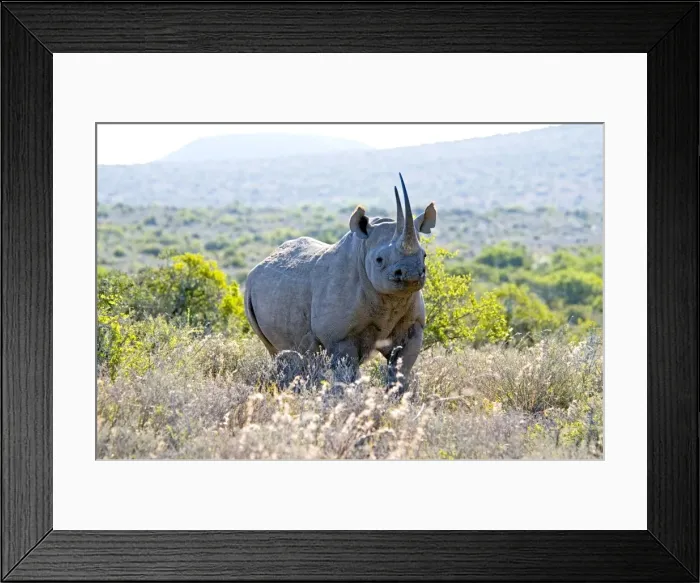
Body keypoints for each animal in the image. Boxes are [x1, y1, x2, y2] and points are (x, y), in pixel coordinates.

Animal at [243, 173, 437, 394]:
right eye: (379, 260)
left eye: (424, 255)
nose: (411, 273)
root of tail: (258, 266)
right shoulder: (340, 336)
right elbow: (347, 373)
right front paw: (346, 398)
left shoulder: (414, 326)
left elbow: (401, 371)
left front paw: (397, 399)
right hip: (251, 291)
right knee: (280, 353)